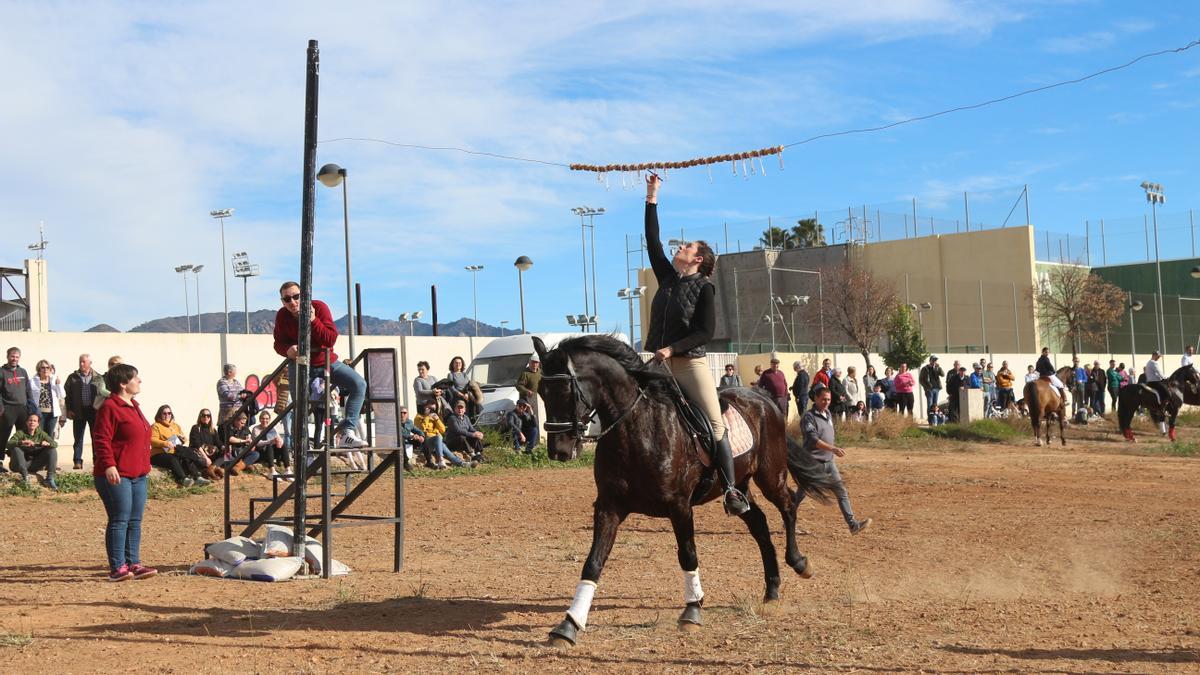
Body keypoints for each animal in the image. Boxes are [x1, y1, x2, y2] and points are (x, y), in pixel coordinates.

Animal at [535, 336, 835, 648]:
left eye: (566, 392)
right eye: (541, 391)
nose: (558, 451)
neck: (635, 429)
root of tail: (763, 399)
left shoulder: (679, 506)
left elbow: (688, 554)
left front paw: (692, 611)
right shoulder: (609, 506)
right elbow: (593, 562)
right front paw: (568, 625)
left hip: (770, 475)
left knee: (788, 506)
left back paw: (799, 563)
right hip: (738, 485)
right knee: (760, 525)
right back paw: (772, 590)